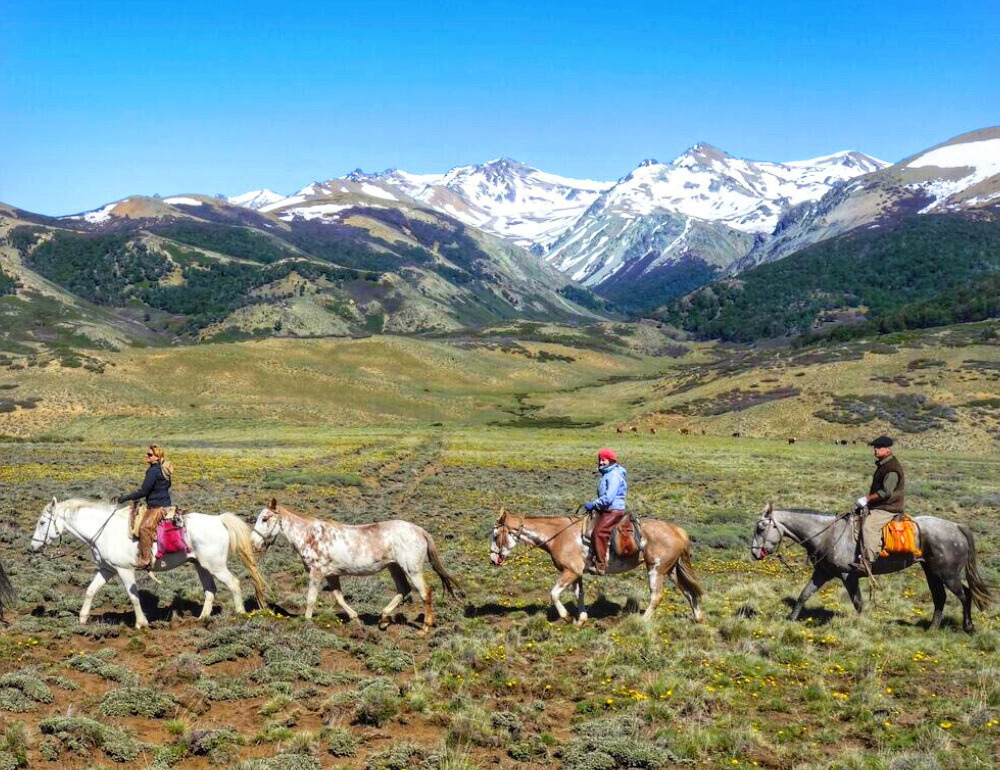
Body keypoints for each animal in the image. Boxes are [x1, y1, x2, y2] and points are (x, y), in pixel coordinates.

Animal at [31, 496, 268, 628]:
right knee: (210, 590)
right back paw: (202, 619)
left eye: (42, 522)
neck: (104, 531)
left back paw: (239, 614)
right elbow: (90, 591)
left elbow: (133, 597)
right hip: (201, 565)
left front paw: (141, 623)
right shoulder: (107, 570)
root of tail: (219, 520)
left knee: (234, 583)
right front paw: (82, 619)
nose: (32, 546)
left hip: (215, 565)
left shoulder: (124, 570)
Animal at [254, 496, 464, 632]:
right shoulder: (332, 575)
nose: (255, 544)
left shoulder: (316, 572)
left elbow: (311, 598)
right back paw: (383, 620)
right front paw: (355, 619)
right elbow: (339, 598)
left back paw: (424, 628)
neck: (311, 536)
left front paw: (306, 622)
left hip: (412, 569)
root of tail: (420, 530)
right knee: (403, 590)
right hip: (394, 567)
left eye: (265, 518)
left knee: (425, 592)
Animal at [488, 510, 700, 624]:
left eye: (496, 535)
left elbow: (554, 593)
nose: (493, 559)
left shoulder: (570, 571)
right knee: (689, 592)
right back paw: (698, 618)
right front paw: (581, 619)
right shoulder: (577, 573)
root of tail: (677, 530)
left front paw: (567, 617)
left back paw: (642, 621)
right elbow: (579, 594)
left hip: (656, 570)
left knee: (657, 596)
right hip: (671, 570)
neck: (559, 535)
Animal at [752, 500, 992, 632]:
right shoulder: (823, 573)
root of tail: (957, 526)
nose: (754, 553)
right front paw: (790, 620)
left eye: (761, 528)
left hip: (948, 574)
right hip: (931, 572)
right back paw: (932, 629)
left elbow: (858, 603)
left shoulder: (848, 576)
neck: (829, 534)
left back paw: (968, 627)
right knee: (940, 597)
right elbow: (804, 594)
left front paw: (862, 624)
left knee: (965, 595)